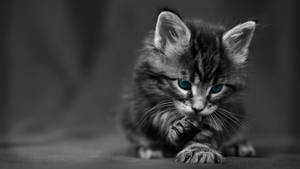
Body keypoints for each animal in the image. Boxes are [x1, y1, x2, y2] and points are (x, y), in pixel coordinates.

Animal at [120, 10, 256, 164]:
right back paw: (151, 148)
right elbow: (161, 116)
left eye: (216, 89)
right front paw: (179, 128)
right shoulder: (146, 99)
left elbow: (209, 129)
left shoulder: (228, 108)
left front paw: (200, 149)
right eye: (183, 84)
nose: (198, 109)